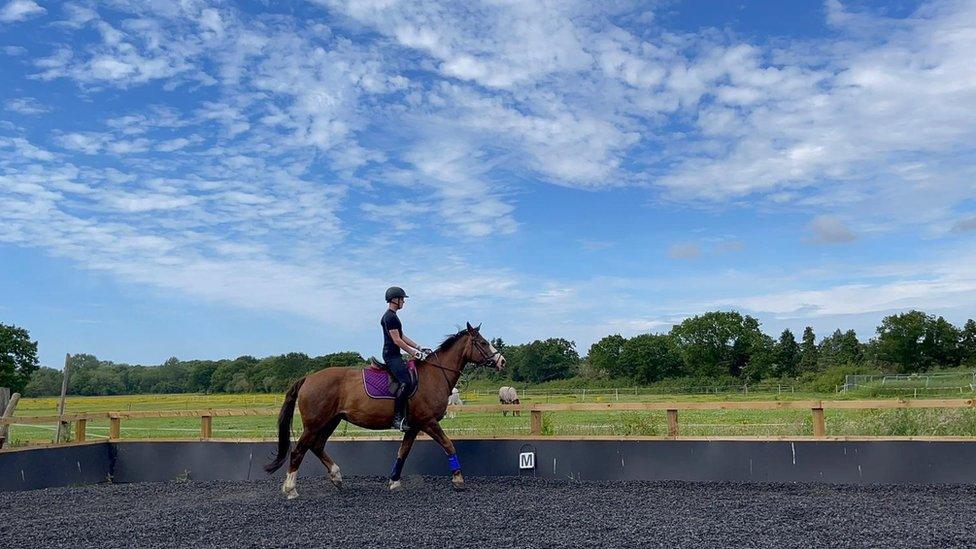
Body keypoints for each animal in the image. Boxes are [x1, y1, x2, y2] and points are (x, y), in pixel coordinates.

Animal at [266, 322, 510, 496]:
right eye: (482, 342)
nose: (502, 361)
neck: (434, 375)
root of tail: (308, 378)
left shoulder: (415, 426)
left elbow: (403, 452)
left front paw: (394, 482)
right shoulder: (429, 422)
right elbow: (448, 445)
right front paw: (458, 480)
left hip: (331, 421)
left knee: (316, 446)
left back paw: (337, 477)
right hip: (315, 423)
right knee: (299, 450)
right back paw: (290, 489)